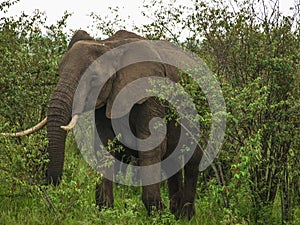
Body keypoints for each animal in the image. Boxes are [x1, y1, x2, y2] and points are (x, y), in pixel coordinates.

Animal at [1, 29, 203, 218]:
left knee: (193, 161)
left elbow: (151, 145)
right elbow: (105, 145)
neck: (109, 46)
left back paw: (185, 215)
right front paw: (105, 212)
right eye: (58, 72)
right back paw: (176, 212)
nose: (50, 182)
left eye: (93, 79)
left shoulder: (150, 93)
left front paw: (157, 214)